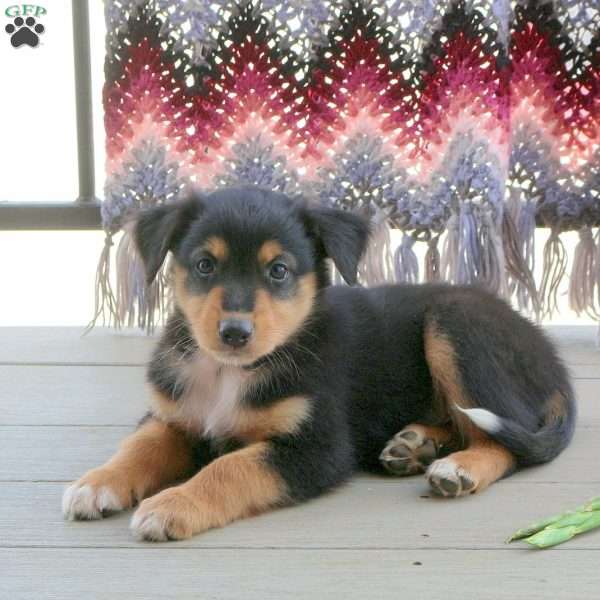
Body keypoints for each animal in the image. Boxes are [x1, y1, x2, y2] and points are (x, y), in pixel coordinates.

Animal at [62, 186, 576, 540]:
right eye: (205, 265)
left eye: (279, 271)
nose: (234, 333)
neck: (231, 372)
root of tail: (552, 359)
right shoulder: (171, 416)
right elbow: (139, 447)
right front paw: (97, 483)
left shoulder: (318, 447)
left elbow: (230, 468)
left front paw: (172, 506)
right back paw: (414, 445)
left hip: (456, 325)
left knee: (505, 442)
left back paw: (456, 468)